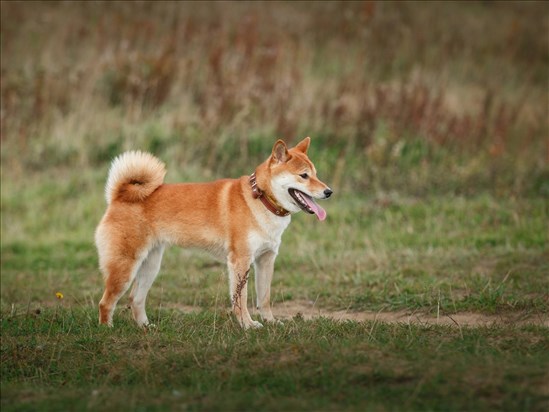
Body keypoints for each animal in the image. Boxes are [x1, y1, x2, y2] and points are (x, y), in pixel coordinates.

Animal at [96, 137, 332, 330]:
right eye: (303, 176)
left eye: (316, 174)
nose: (329, 192)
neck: (261, 199)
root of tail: (118, 196)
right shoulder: (240, 260)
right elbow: (241, 299)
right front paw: (248, 325)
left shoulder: (266, 259)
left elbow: (264, 297)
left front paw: (271, 321)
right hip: (125, 268)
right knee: (106, 302)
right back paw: (107, 329)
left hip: (151, 266)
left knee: (135, 298)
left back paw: (145, 327)